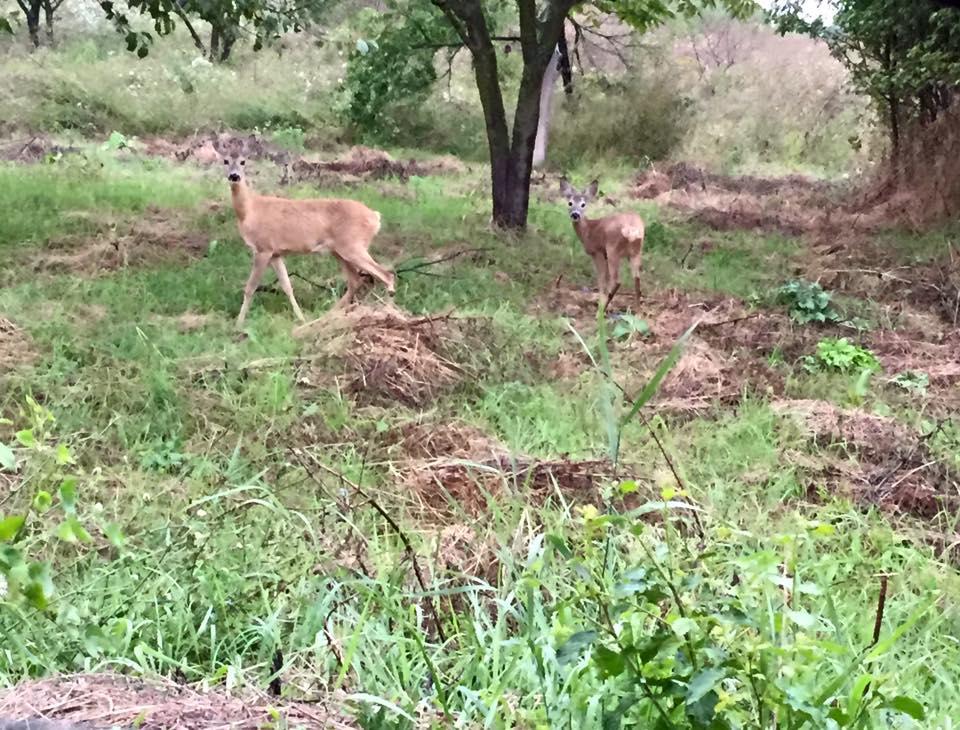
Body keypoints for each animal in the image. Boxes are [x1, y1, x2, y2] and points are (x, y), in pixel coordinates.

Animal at [216, 138, 396, 326]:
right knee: (356, 280)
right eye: (225, 161)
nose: (234, 176)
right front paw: (301, 318)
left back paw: (389, 313)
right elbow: (287, 286)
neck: (250, 211)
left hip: (353, 246)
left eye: (243, 161)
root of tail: (375, 217)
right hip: (339, 251)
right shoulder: (276, 253)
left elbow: (250, 287)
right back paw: (326, 316)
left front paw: (238, 324)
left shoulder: (263, 248)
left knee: (386, 275)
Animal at [560, 178, 648, 306]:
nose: (575, 214)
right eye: (570, 203)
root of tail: (632, 229)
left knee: (617, 281)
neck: (588, 231)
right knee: (637, 281)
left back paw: (602, 308)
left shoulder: (598, 252)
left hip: (613, 249)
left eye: (583, 204)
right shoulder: (604, 255)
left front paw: (600, 300)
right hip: (636, 251)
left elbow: (601, 279)